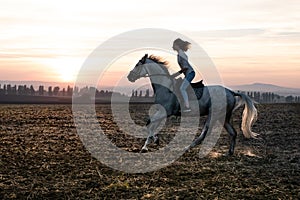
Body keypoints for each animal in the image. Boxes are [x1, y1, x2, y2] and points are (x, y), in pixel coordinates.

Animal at [126, 54, 258, 155]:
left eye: (137, 65)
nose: (129, 77)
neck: (165, 86)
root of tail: (230, 92)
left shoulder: (166, 111)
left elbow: (150, 123)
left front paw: (147, 145)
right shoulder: (162, 111)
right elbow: (151, 124)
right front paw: (153, 141)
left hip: (214, 114)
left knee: (205, 133)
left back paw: (188, 147)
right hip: (223, 117)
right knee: (233, 132)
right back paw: (229, 152)